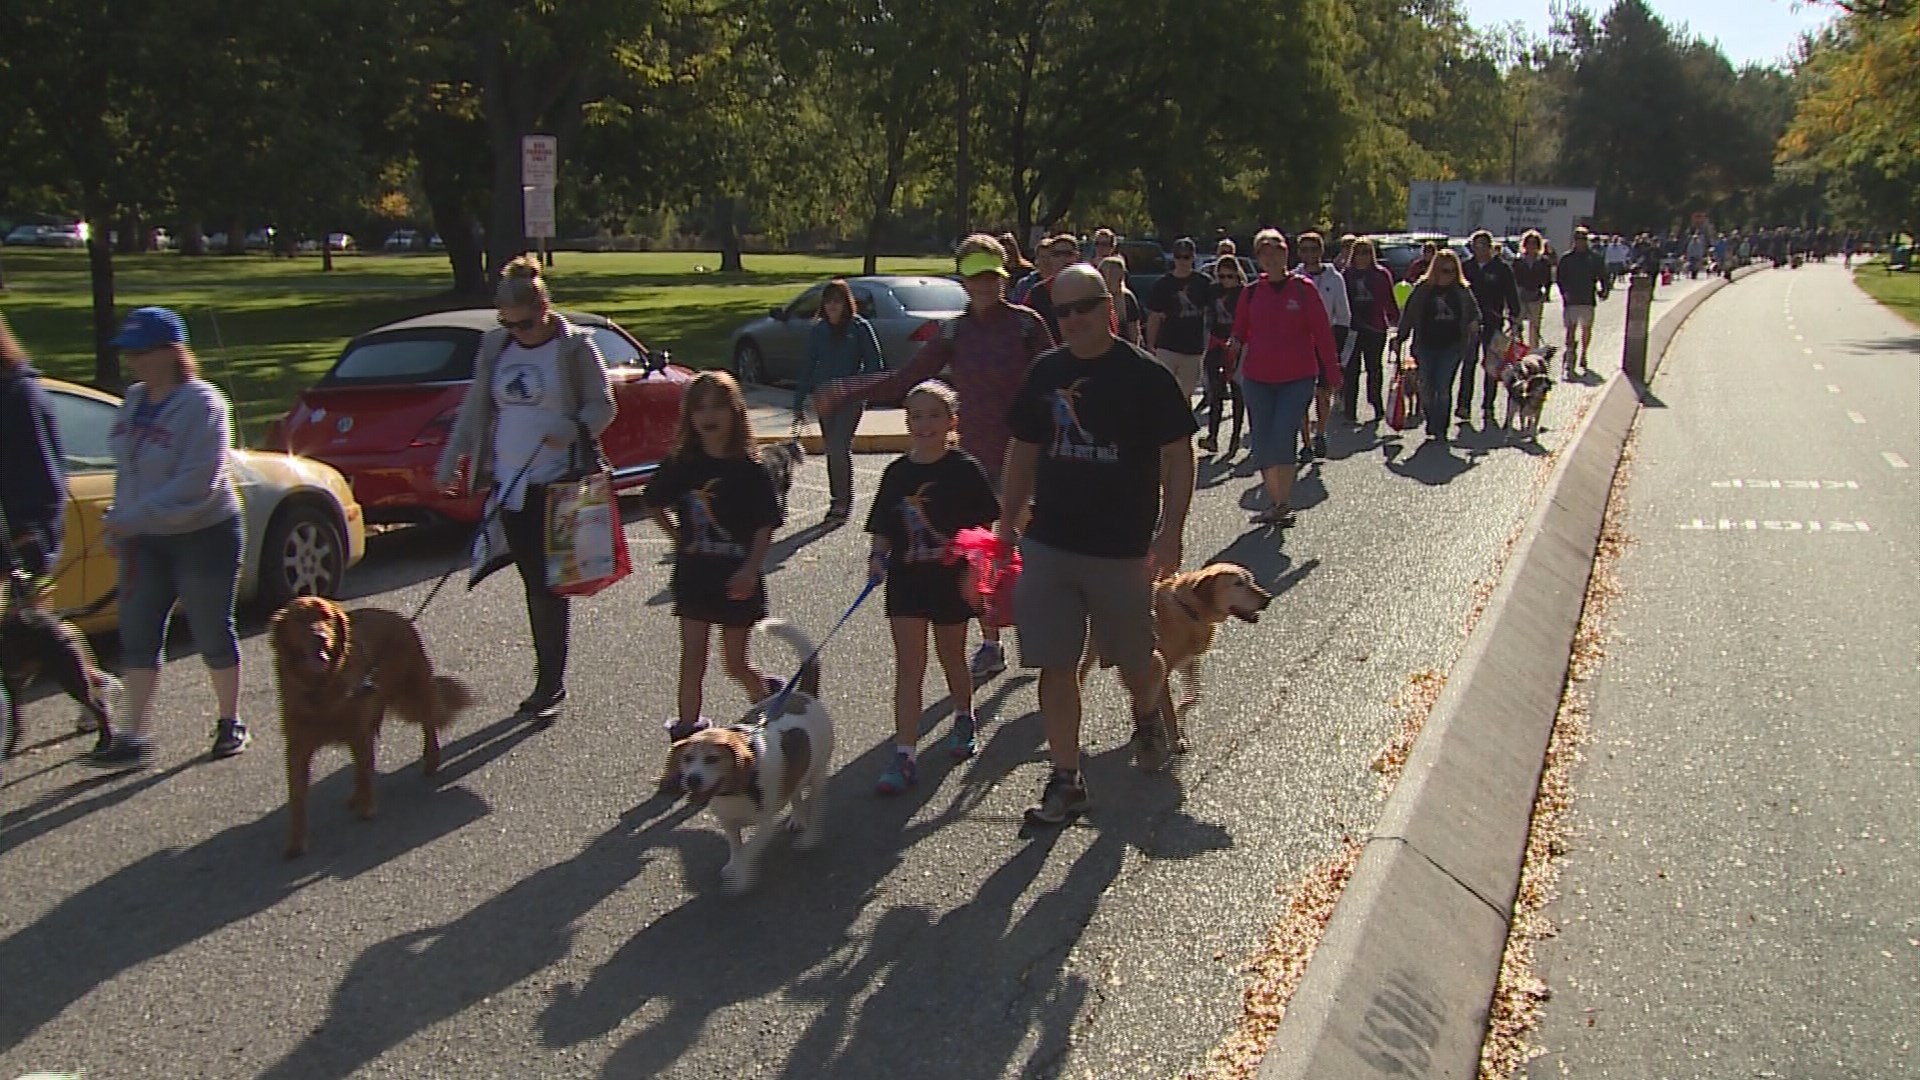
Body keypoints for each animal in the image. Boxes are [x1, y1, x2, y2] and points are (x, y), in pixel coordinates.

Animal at [268, 591, 474, 853]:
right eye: (299, 620)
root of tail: (401, 618)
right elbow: (297, 797)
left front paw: (367, 806)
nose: (320, 638)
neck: (322, 687)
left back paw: (431, 760)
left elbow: (365, 770)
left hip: (412, 688)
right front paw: (296, 840)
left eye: (325, 617)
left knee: (428, 723)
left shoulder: (358, 730)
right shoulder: (298, 746)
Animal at [664, 618, 837, 895]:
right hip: (797, 771)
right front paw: (733, 866)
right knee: (795, 793)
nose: (692, 780)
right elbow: (736, 848)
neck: (737, 789)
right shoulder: (729, 823)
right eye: (687, 759)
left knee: (816, 806)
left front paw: (741, 878)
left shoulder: (765, 825)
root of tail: (803, 694)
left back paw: (809, 837)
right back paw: (798, 818)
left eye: (712, 759)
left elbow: (749, 851)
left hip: (818, 775)